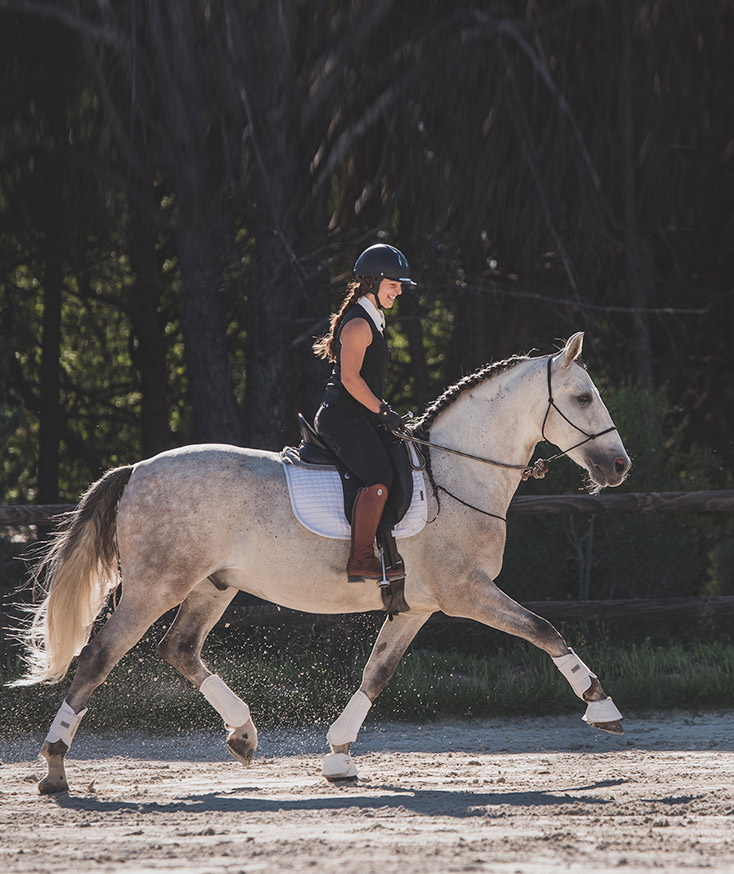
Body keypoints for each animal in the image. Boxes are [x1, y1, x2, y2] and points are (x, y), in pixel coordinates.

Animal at [12, 330, 632, 792]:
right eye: (583, 398)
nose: (620, 466)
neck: (456, 474)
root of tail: (137, 469)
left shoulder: (415, 606)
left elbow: (377, 674)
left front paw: (338, 755)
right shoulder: (467, 593)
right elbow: (545, 629)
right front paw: (601, 707)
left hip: (214, 585)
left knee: (179, 649)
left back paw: (243, 735)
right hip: (155, 586)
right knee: (98, 659)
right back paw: (55, 769)